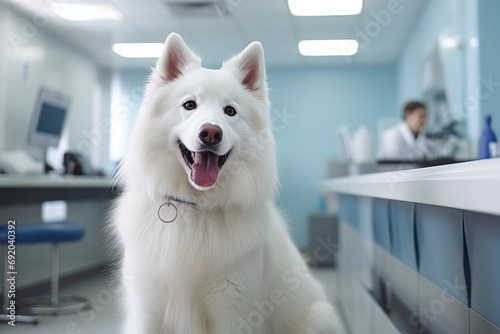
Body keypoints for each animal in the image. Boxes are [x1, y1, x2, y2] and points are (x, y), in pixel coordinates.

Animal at [112, 32, 340, 332]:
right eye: (189, 105)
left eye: (230, 111)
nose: (211, 132)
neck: (196, 208)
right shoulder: (147, 306)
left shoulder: (234, 307)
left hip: (319, 318)